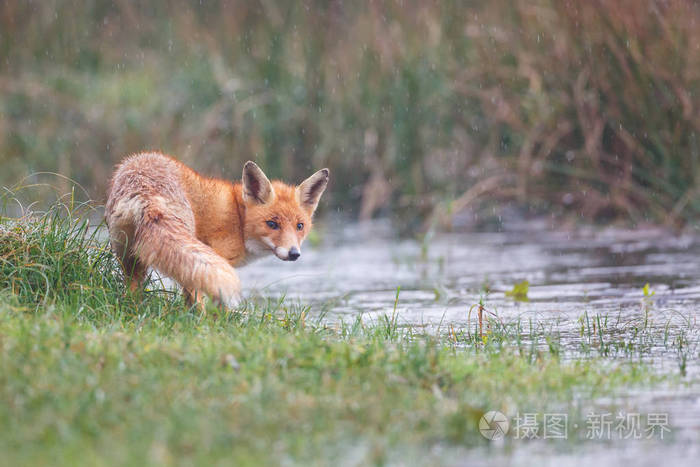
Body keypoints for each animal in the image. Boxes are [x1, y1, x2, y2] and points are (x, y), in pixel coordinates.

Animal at [105, 152, 330, 308]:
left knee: (132, 288)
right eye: (272, 224)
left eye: (300, 226)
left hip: (128, 252)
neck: (239, 219)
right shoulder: (217, 258)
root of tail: (145, 188)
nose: (294, 253)